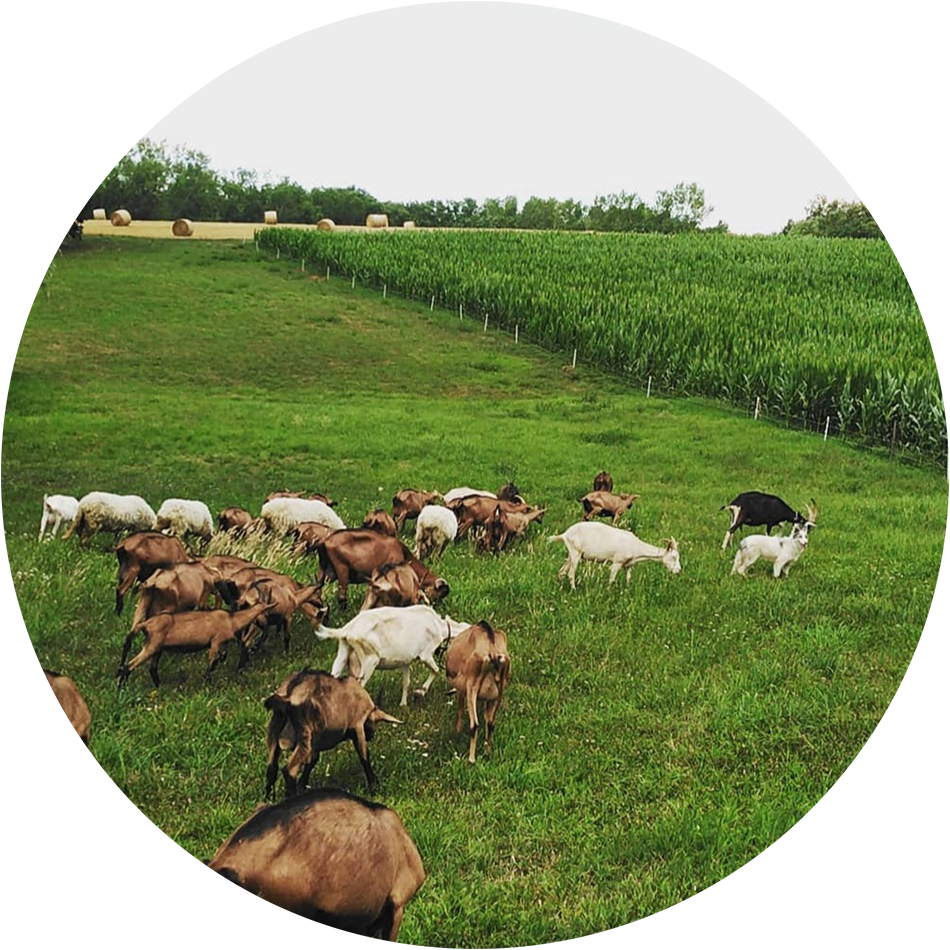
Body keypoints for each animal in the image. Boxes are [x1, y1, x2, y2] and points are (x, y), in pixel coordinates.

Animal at [116, 602, 271, 688]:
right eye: (265, 613)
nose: (265, 625)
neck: (232, 620)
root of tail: (145, 624)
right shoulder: (215, 642)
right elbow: (212, 664)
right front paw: (207, 684)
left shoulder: (223, 643)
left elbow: (220, 659)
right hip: (151, 646)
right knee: (129, 666)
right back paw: (122, 688)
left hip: (157, 649)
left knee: (152, 669)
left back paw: (159, 687)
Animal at [264, 669, 402, 797]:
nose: (371, 736)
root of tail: (289, 693)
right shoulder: (357, 727)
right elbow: (364, 756)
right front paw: (374, 788)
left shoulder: (316, 743)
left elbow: (312, 761)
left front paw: (303, 786)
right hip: (304, 737)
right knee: (289, 770)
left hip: (274, 731)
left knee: (272, 767)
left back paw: (269, 799)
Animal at [314, 605, 471, 706]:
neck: (439, 626)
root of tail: (348, 629)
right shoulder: (425, 654)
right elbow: (436, 670)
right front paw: (420, 692)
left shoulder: (406, 660)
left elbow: (406, 682)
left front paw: (403, 704)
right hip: (369, 660)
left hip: (343, 653)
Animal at [445, 621, 511, 764]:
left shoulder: (462, 690)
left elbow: (460, 709)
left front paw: (458, 731)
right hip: (500, 691)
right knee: (490, 723)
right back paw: (487, 753)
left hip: (472, 688)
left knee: (474, 724)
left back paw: (471, 759)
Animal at [548, 522, 682, 589]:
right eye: (673, 557)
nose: (678, 571)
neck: (635, 545)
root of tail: (565, 534)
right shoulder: (617, 562)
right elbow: (611, 579)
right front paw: (609, 593)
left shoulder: (628, 565)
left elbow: (628, 579)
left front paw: (627, 591)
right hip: (575, 553)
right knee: (571, 573)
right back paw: (573, 589)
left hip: (572, 554)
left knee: (562, 571)